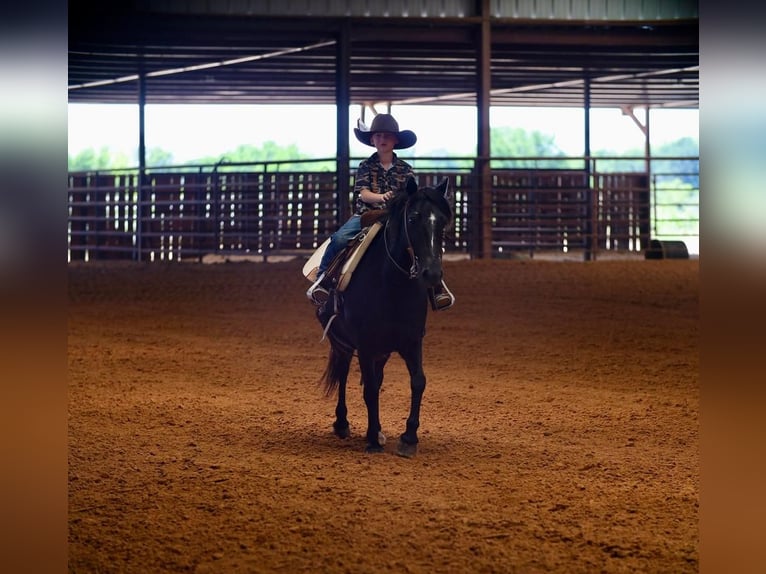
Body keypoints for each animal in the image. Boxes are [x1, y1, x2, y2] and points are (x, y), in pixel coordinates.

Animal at [316, 177, 452, 460]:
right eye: (413, 218)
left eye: (443, 221)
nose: (432, 274)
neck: (392, 284)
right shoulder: (366, 345)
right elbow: (368, 389)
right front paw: (372, 440)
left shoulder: (411, 341)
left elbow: (418, 381)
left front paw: (408, 438)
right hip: (342, 343)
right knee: (344, 374)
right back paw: (343, 423)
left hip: (382, 350)